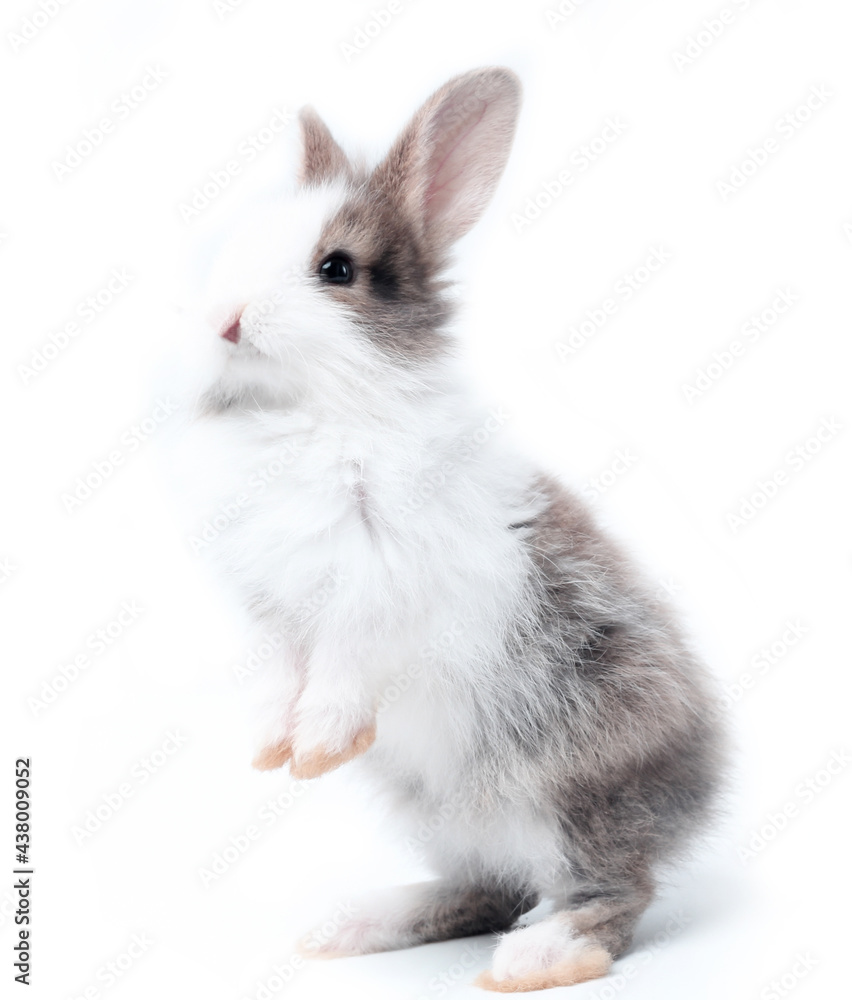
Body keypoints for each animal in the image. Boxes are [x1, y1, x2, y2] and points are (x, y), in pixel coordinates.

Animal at [177, 67, 725, 992]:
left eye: (336, 268)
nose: (225, 319)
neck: (316, 414)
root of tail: (700, 784)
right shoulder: (279, 609)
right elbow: (285, 672)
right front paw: (271, 748)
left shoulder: (377, 587)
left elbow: (341, 666)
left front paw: (319, 746)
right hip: (439, 812)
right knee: (489, 887)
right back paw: (350, 926)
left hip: (565, 793)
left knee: (612, 891)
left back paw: (538, 957)